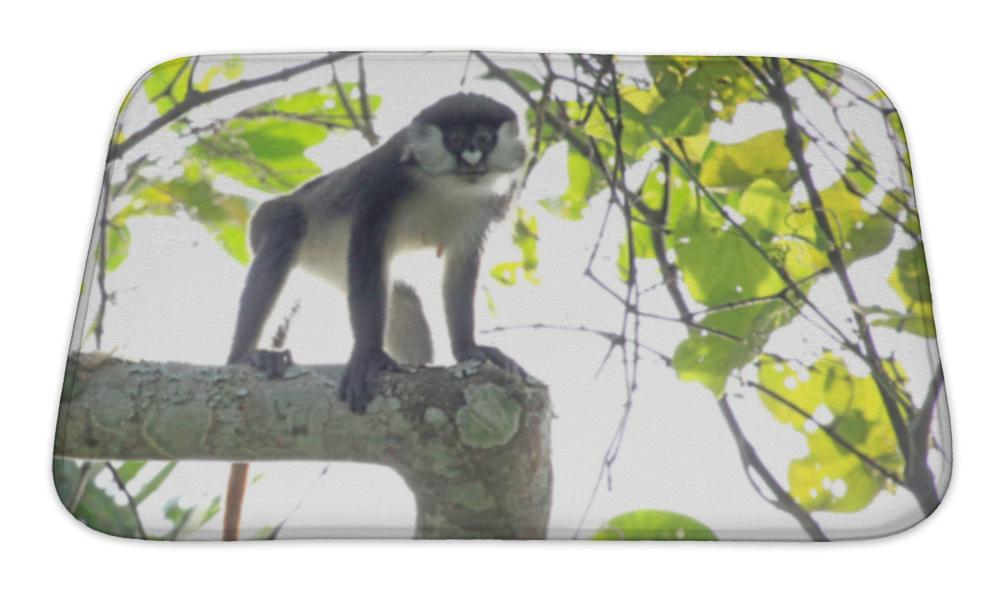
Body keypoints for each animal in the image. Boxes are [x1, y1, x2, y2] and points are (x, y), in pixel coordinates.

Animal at [221, 93, 529, 540]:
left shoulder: (486, 207)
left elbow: (461, 267)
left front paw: (469, 350)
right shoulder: (384, 184)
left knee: (402, 299)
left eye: (484, 138)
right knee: (289, 225)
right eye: (456, 138)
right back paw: (246, 355)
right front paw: (367, 357)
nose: (472, 157)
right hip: (269, 221)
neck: (445, 185)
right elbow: (367, 245)